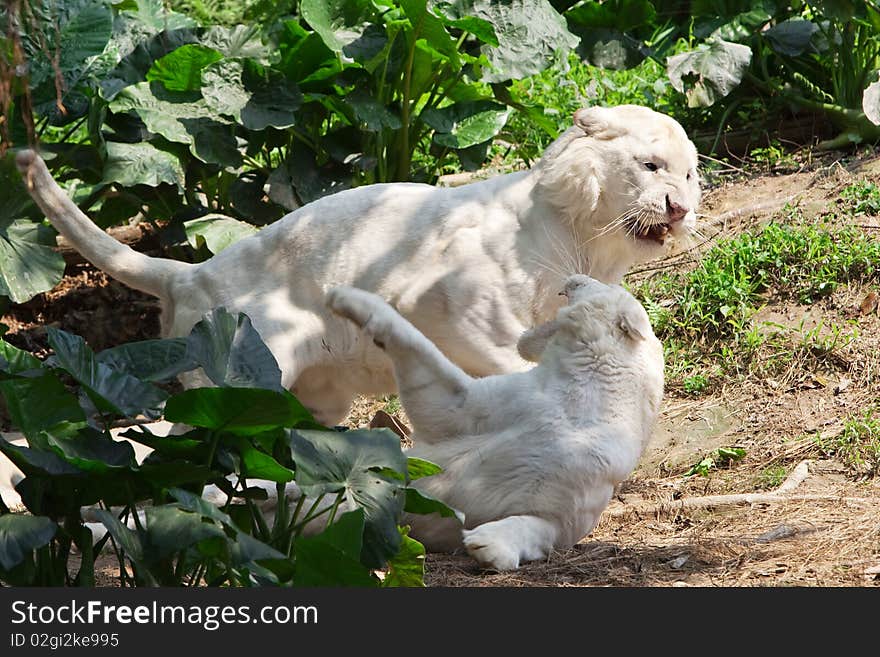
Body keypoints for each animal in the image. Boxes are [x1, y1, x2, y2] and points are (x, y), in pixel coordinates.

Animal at [326, 272, 664, 568]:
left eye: (605, 284)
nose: (576, 277)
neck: (578, 404)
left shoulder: (562, 517)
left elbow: (533, 527)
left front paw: (487, 545)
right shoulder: (466, 406)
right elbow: (415, 345)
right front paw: (344, 296)